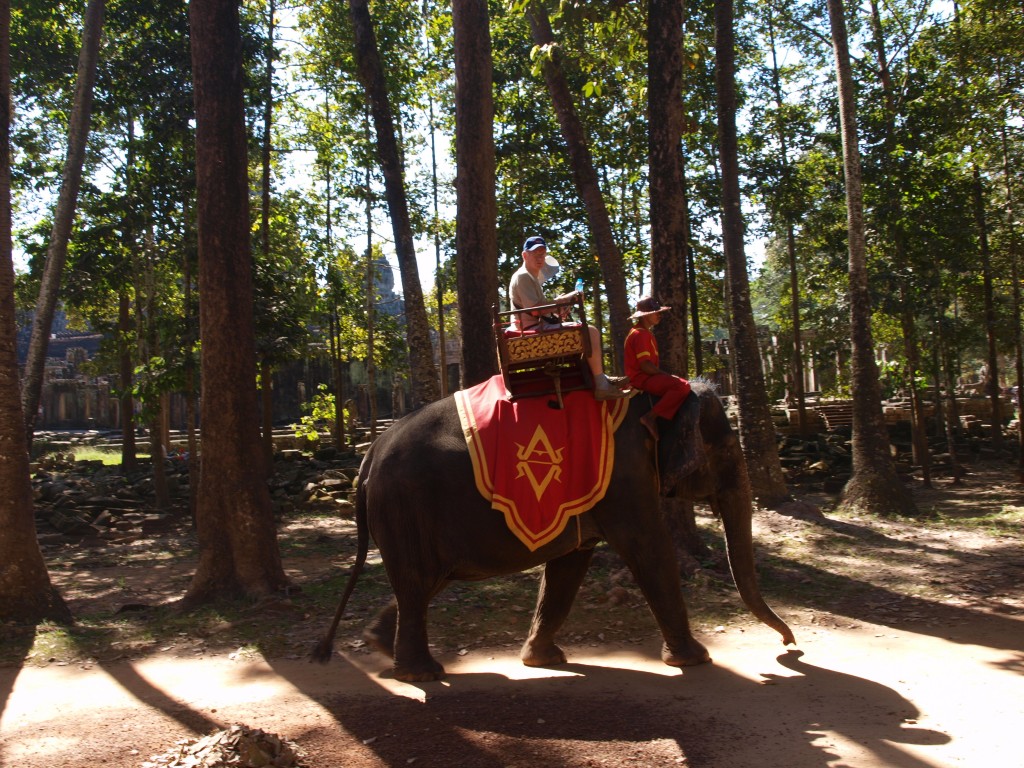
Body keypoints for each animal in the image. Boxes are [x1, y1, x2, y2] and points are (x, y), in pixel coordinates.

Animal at [311, 382, 790, 684]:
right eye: (725, 450)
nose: (789, 647)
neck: (652, 396)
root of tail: (368, 456)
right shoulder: (625, 478)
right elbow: (648, 548)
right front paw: (696, 660)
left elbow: (569, 563)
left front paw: (542, 660)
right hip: (405, 508)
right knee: (416, 583)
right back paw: (421, 673)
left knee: (420, 584)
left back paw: (382, 646)